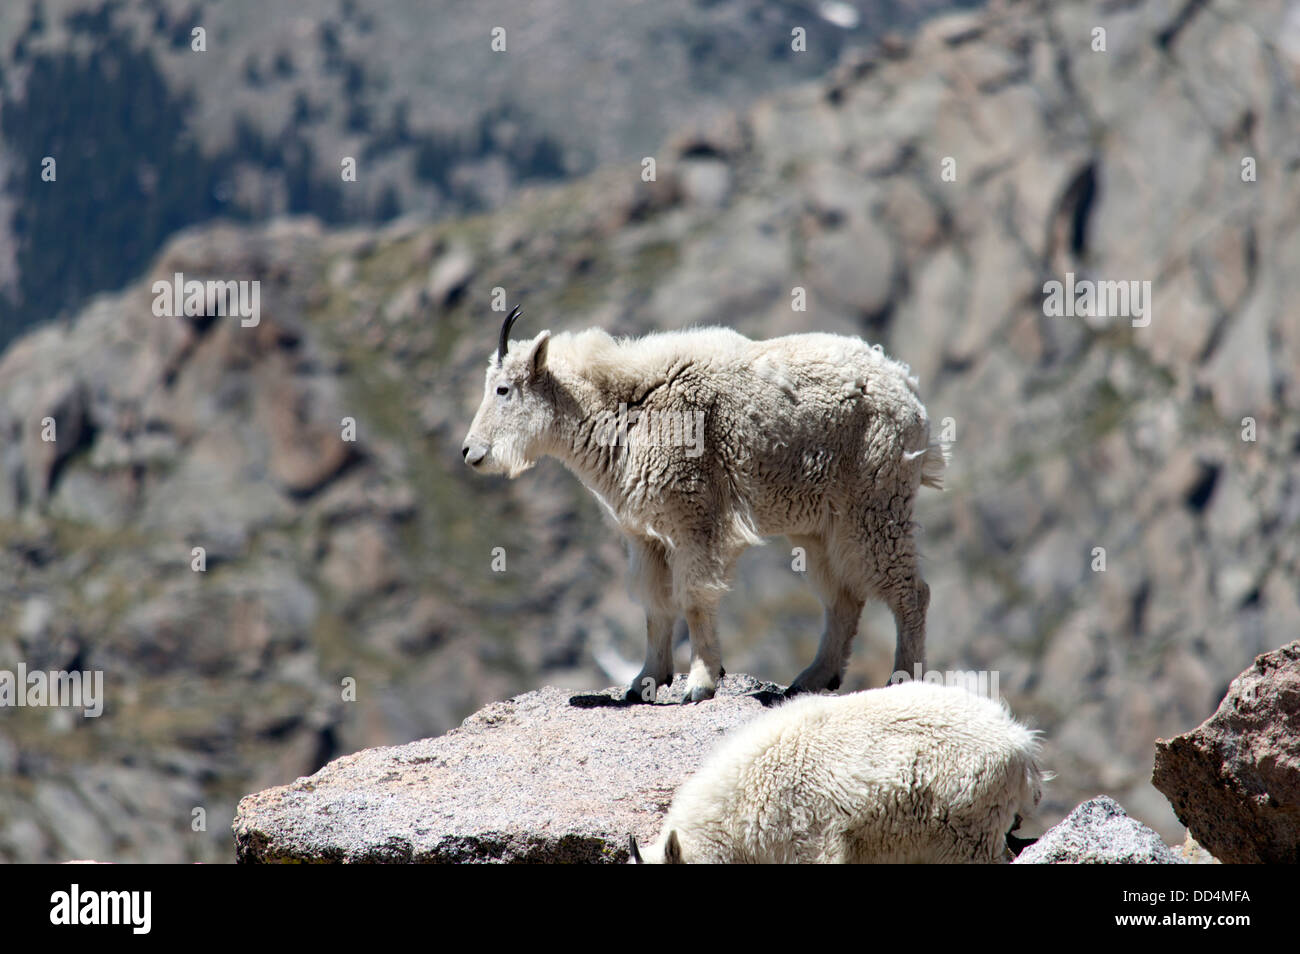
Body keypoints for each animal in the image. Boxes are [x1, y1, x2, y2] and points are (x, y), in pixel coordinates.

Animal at [462, 310, 951, 707]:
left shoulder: (695, 519)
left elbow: (694, 599)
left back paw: (902, 677)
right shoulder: (645, 535)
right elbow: (656, 606)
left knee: (911, 591)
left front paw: (700, 683)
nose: (470, 452)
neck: (622, 410)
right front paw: (645, 682)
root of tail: (908, 386)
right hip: (818, 524)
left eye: (503, 389)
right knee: (842, 598)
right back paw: (812, 678)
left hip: (875, 503)